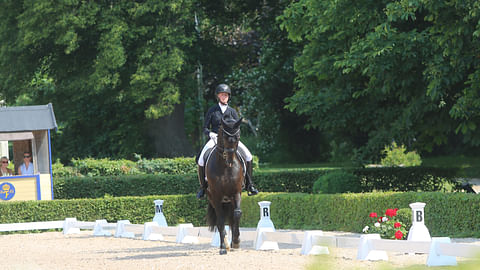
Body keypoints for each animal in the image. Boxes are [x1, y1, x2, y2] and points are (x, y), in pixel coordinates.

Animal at [205, 116, 246, 255]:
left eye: (238, 136)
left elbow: (237, 214)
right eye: (224, 136)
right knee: (220, 221)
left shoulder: (236, 192)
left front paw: (237, 241)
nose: (230, 160)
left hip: (230, 200)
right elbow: (221, 221)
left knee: (232, 219)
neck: (225, 167)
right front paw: (223, 247)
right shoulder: (216, 196)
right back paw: (225, 245)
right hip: (214, 199)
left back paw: (233, 243)